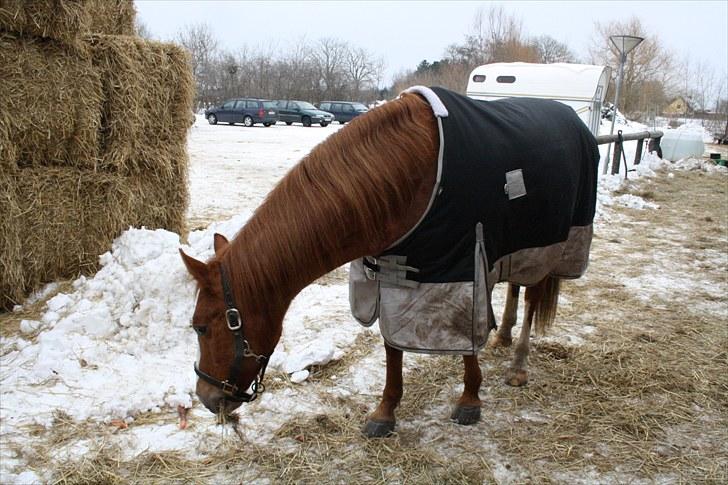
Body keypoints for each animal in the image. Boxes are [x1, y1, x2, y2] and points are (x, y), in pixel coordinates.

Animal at [179, 92, 564, 436]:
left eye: (201, 327)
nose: (207, 398)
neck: (410, 175)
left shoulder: (461, 267)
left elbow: (464, 337)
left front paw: (470, 398)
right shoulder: (392, 274)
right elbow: (392, 344)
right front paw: (386, 411)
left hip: (547, 246)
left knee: (532, 297)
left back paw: (518, 365)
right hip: (516, 249)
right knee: (515, 286)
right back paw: (502, 337)